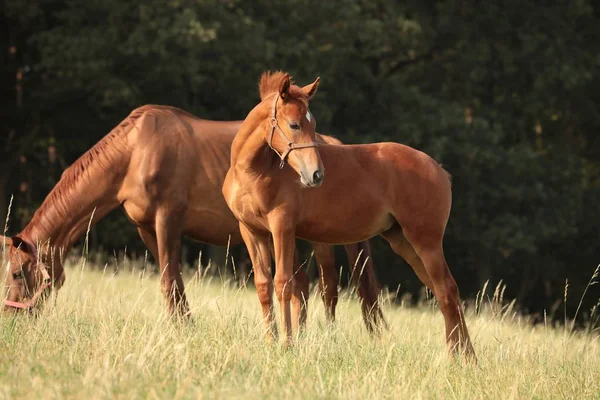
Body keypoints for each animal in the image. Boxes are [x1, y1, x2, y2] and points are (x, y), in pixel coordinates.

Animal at [1, 103, 384, 332]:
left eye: (18, 272)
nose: (10, 317)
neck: (135, 151)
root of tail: (331, 143)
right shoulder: (146, 228)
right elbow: (173, 281)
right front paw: (186, 326)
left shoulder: (167, 219)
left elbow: (170, 281)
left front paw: (181, 329)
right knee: (303, 286)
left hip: (320, 239)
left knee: (329, 288)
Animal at [223, 71, 476, 360]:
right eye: (295, 124)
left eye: (313, 124)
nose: (316, 175)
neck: (255, 171)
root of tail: (439, 169)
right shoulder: (251, 232)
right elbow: (264, 285)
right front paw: (270, 341)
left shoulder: (282, 228)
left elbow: (284, 283)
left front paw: (286, 345)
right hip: (403, 242)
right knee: (444, 291)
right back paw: (466, 356)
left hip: (426, 242)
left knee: (446, 290)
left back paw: (457, 357)